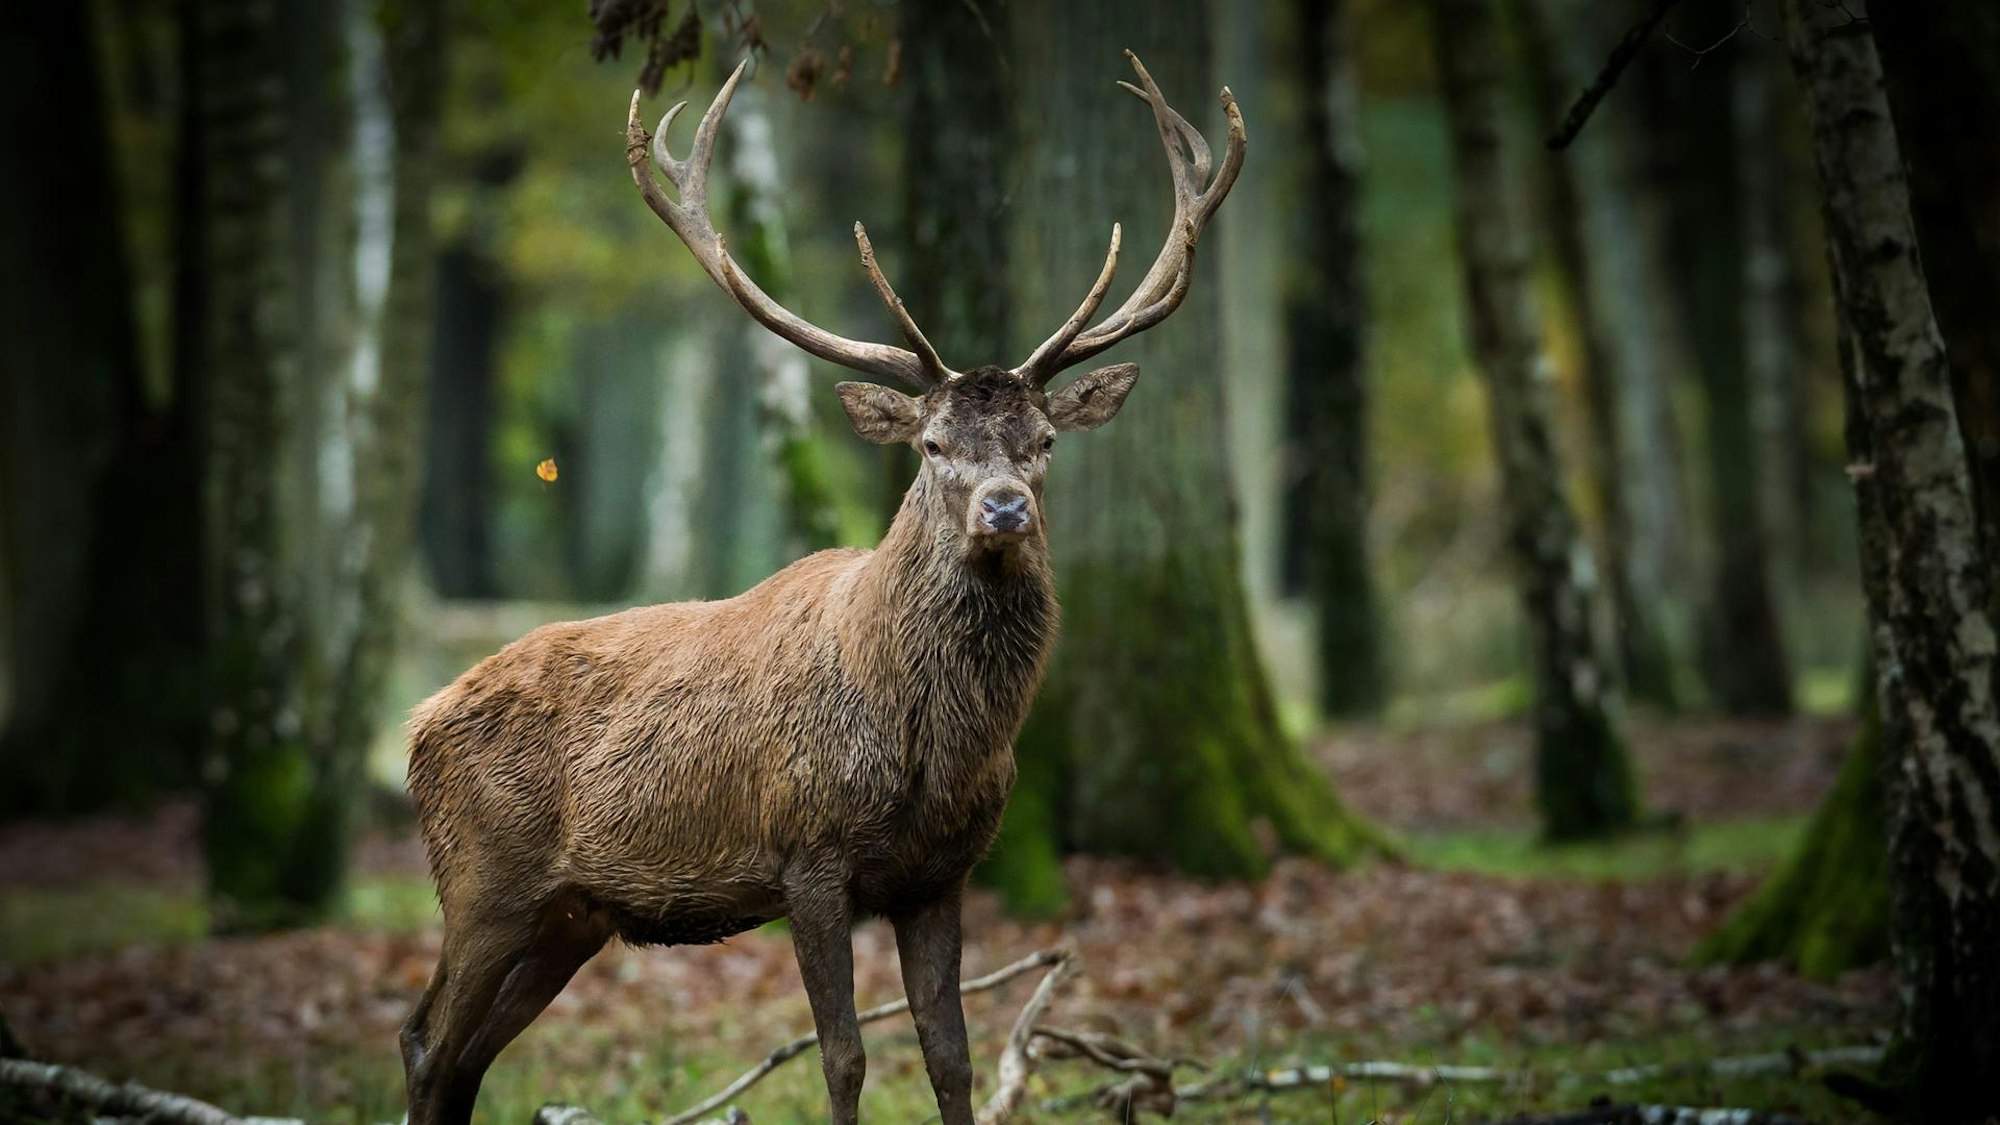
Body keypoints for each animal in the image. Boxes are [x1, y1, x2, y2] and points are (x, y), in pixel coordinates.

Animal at [399, 50, 1244, 1125]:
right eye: (933, 445)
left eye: (1046, 440)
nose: (1005, 508)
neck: (932, 744)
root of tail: (417, 722)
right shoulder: (808, 854)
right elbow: (842, 1056)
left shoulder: (941, 873)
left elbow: (951, 1054)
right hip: (484, 878)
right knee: (427, 1041)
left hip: (569, 916)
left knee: (466, 1058)